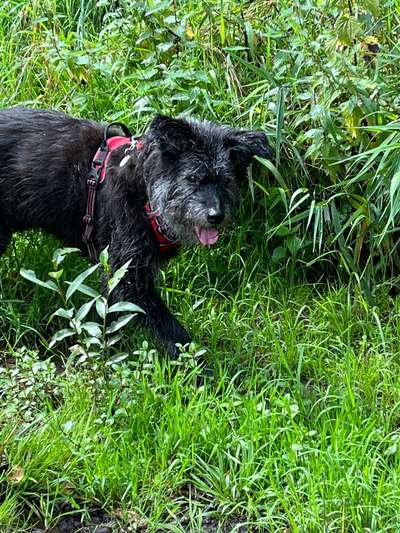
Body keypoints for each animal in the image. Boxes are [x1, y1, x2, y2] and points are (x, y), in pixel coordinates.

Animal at [0, 108, 272, 358]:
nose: (216, 216)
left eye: (226, 180)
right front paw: (199, 366)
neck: (146, 194)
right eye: (194, 178)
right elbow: (170, 329)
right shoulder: (129, 277)